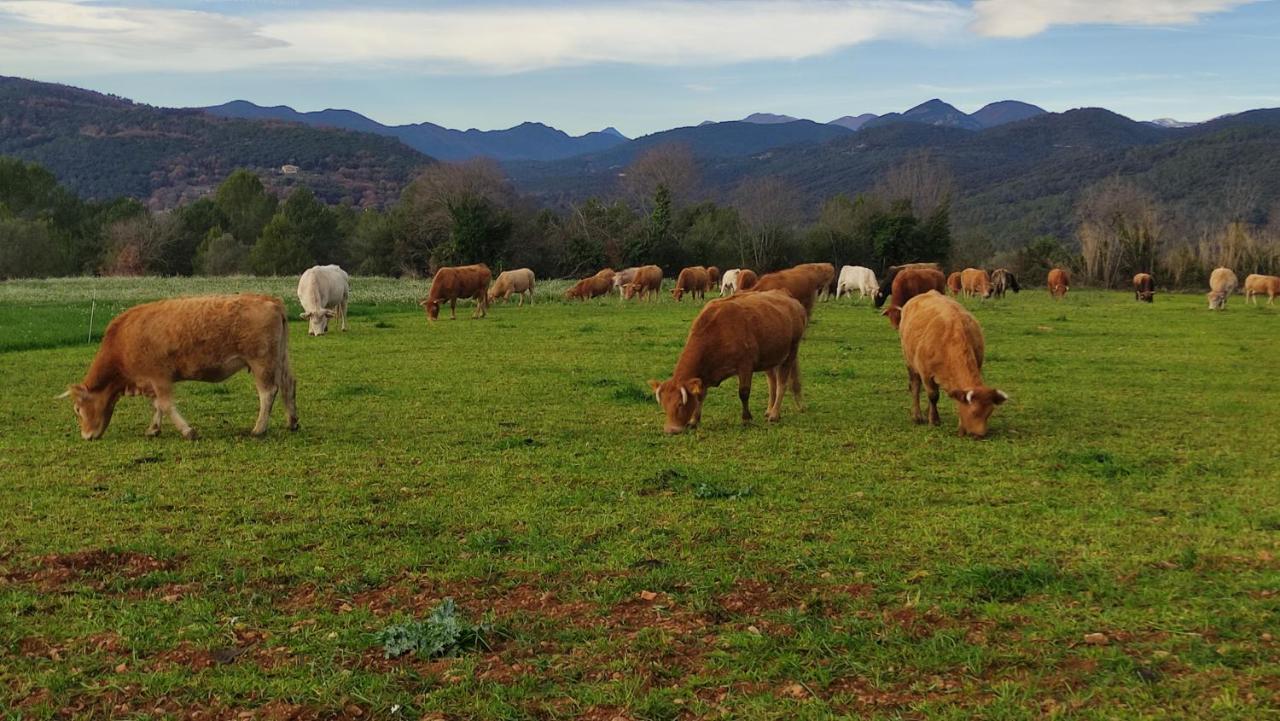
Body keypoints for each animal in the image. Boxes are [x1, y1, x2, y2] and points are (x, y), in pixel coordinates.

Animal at [62, 293, 299, 440]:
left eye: (77, 409)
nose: (86, 436)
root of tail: (270, 300)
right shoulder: (151, 382)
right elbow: (157, 405)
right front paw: (153, 429)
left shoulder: (159, 377)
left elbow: (166, 405)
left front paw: (188, 431)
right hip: (280, 360)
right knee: (288, 385)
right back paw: (292, 421)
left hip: (262, 363)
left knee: (268, 393)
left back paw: (259, 429)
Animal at [645, 290, 803, 437]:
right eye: (664, 405)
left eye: (679, 404)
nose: (671, 430)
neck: (718, 331)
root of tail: (788, 296)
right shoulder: (703, 376)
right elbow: (700, 395)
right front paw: (694, 420)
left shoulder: (745, 365)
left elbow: (744, 393)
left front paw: (746, 418)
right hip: (771, 358)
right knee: (772, 382)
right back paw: (770, 409)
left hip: (791, 352)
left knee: (782, 383)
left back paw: (775, 414)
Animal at [901, 289, 1008, 437]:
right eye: (973, 412)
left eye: (989, 412)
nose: (980, 435)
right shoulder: (926, 373)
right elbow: (933, 395)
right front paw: (934, 420)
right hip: (910, 362)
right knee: (915, 386)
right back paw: (917, 416)